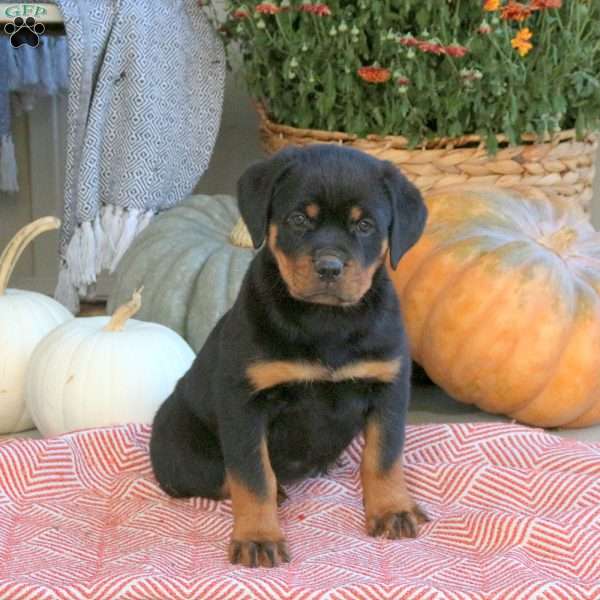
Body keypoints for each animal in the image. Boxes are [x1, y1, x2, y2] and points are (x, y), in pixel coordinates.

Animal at [151, 144, 432, 568]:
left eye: (365, 225)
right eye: (299, 219)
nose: (329, 266)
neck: (326, 320)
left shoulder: (388, 387)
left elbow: (383, 457)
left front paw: (392, 510)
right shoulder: (245, 402)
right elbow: (253, 475)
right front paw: (258, 537)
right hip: (179, 450)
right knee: (219, 475)